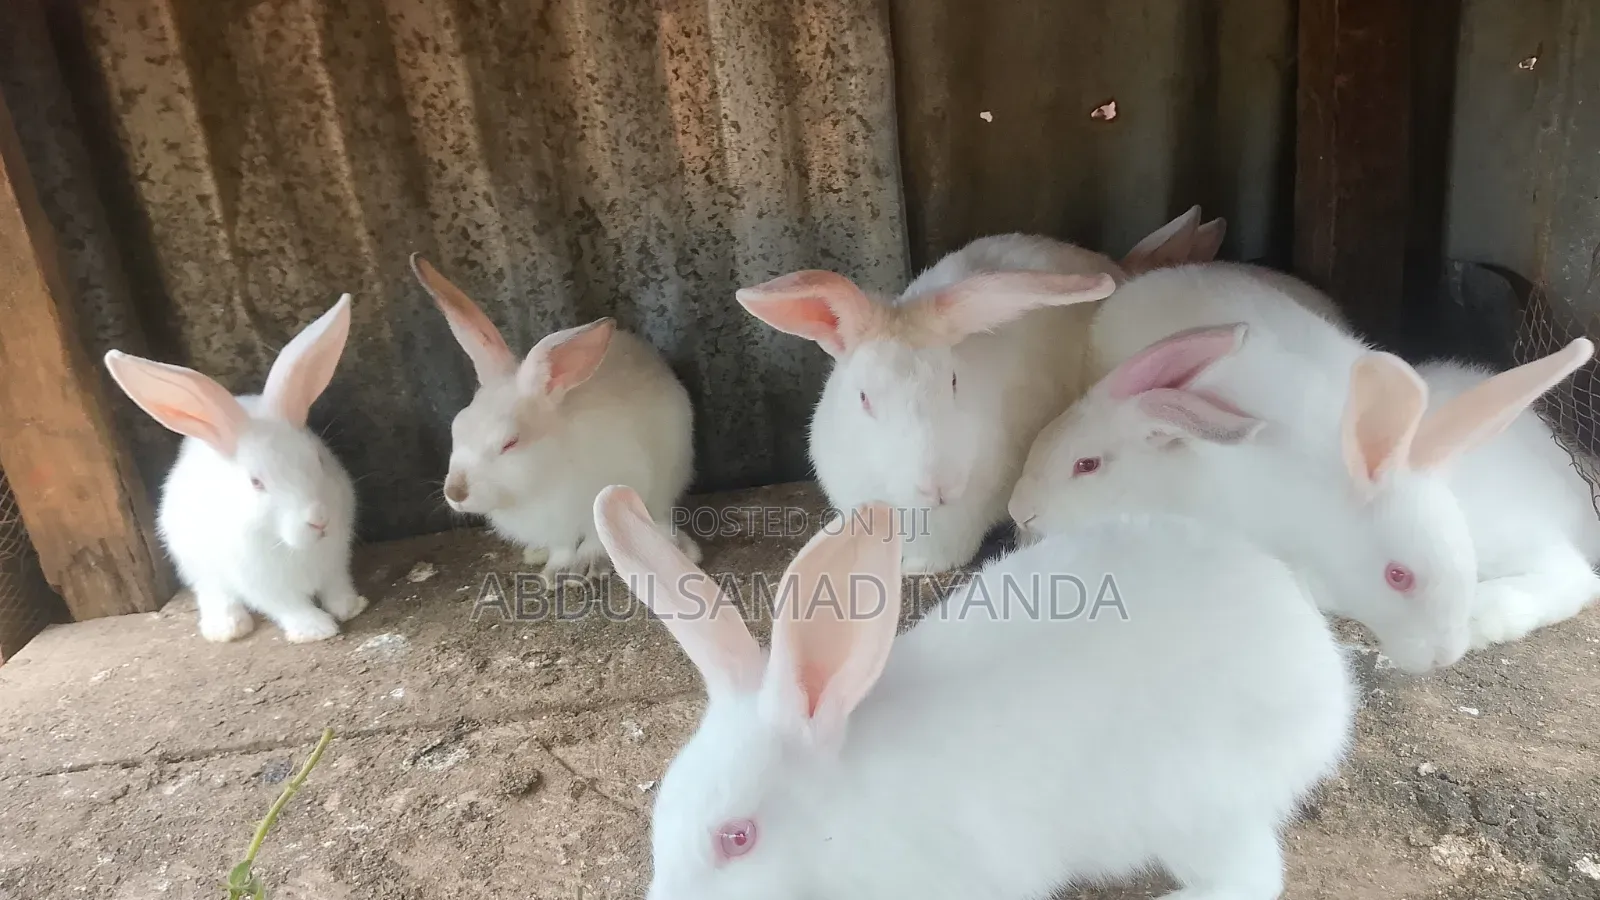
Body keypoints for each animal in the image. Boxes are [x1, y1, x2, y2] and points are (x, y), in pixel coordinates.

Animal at [101, 294, 367, 644]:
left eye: (319, 460)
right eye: (256, 483)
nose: (319, 521)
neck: (290, 545)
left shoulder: (336, 562)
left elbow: (337, 587)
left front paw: (351, 607)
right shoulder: (262, 584)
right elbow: (289, 606)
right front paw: (315, 629)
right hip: (195, 562)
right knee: (213, 592)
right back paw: (227, 628)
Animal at [410, 254, 698, 578]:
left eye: (510, 442)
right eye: (456, 428)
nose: (456, 493)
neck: (542, 480)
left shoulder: (607, 497)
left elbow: (596, 539)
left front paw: (586, 568)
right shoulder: (555, 530)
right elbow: (561, 548)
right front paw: (555, 572)